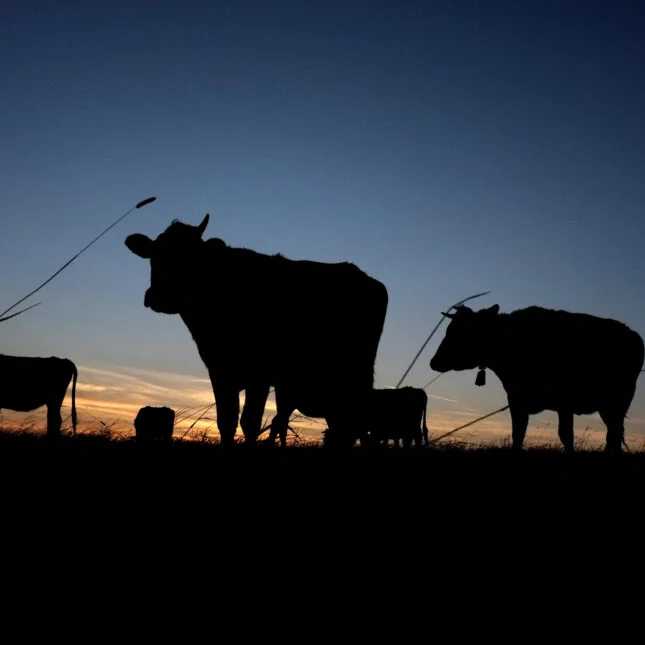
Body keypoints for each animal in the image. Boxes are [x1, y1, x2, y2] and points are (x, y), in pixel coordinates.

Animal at [124, 213, 389, 449]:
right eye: (154, 255)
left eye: (191, 258)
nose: (158, 296)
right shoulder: (219, 370)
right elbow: (227, 421)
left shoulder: (259, 373)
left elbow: (250, 422)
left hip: (355, 373)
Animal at [429, 304, 645, 454]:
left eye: (459, 333)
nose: (434, 362)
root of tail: (633, 334)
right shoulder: (516, 399)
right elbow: (518, 434)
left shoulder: (564, 401)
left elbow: (566, 435)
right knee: (614, 433)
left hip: (619, 399)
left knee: (614, 433)